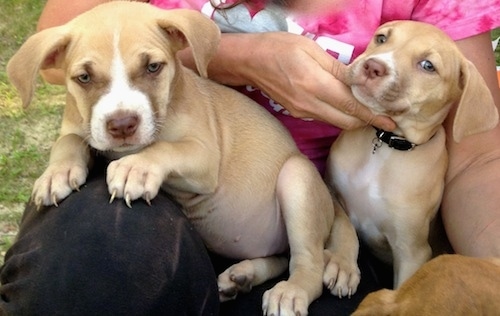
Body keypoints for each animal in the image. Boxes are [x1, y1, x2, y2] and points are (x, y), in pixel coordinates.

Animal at [6, 1, 360, 314]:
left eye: (153, 67)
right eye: (84, 78)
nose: (122, 124)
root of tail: (330, 203)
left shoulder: (204, 156)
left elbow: (165, 148)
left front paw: (134, 169)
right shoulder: (83, 128)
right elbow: (68, 140)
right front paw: (57, 173)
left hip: (297, 177)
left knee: (308, 263)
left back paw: (292, 290)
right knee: (281, 256)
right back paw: (242, 275)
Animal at [326, 21, 498, 290]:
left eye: (428, 66)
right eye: (381, 38)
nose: (372, 66)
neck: (385, 146)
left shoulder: (412, 251)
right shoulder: (332, 189)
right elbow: (343, 224)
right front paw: (343, 264)